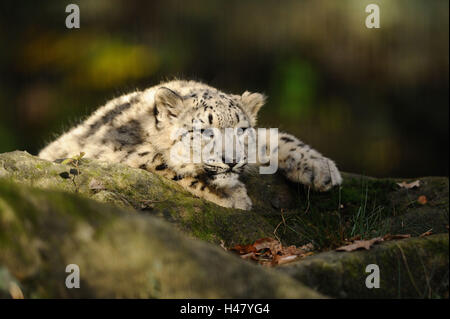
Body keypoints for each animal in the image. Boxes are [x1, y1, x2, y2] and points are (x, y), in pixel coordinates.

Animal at [39, 79, 342, 210]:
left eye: (242, 129)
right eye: (205, 130)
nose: (231, 161)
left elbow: (276, 137)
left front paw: (323, 169)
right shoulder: (114, 150)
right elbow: (165, 162)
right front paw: (232, 196)